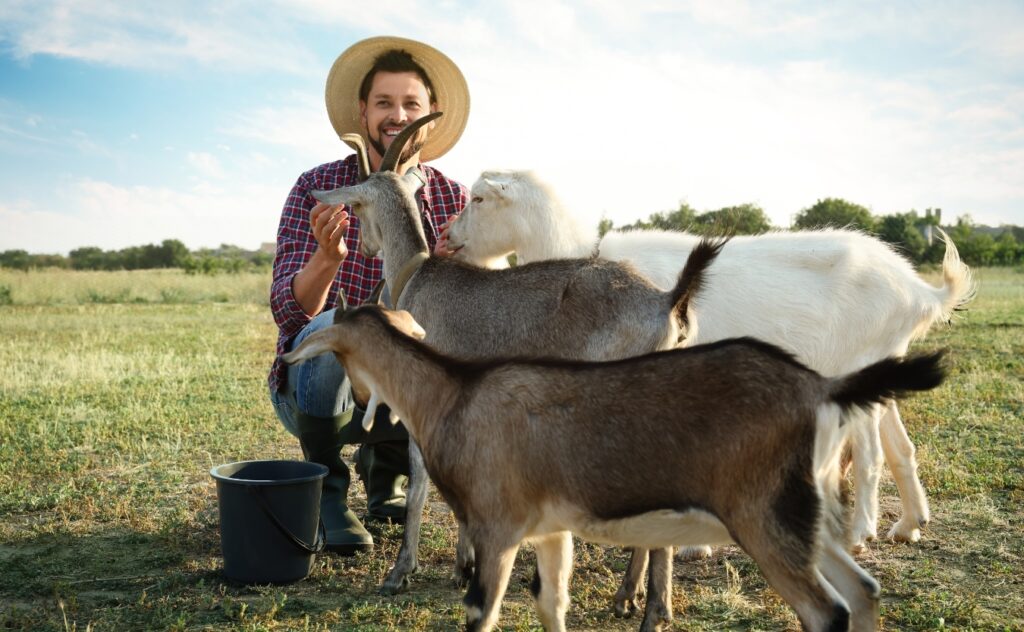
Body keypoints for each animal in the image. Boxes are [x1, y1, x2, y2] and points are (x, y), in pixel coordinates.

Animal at [284, 303, 946, 630]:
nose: (361, 411)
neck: (453, 395)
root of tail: (823, 388)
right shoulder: (550, 530)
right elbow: (552, 605)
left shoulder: (497, 528)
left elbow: (482, 613)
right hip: (807, 518)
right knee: (863, 592)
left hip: (763, 518)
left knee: (827, 612)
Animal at [448, 169, 974, 553]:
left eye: (478, 199)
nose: (449, 236)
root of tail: (918, 291)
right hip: (887, 359)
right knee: (901, 446)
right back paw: (909, 525)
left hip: (861, 361)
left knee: (869, 454)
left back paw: (861, 533)